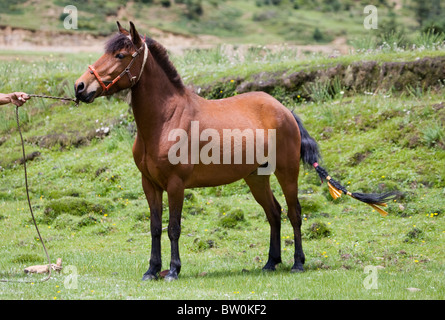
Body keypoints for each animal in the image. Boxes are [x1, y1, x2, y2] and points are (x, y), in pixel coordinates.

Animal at [73, 21, 396, 280]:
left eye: (120, 55)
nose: (80, 86)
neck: (166, 120)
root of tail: (285, 111)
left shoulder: (176, 185)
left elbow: (174, 227)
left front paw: (173, 270)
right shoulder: (149, 185)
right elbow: (155, 227)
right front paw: (152, 270)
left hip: (286, 173)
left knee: (294, 213)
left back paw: (297, 264)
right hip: (256, 178)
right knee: (274, 213)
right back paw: (270, 263)